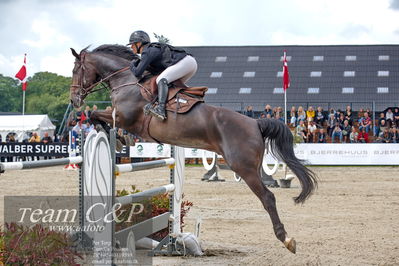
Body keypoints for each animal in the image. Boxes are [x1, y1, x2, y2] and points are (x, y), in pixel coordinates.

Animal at [69, 44, 318, 254]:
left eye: (75, 70)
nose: (73, 101)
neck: (127, 80)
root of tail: (255, 122)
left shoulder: (125, 118)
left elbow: (95, 115)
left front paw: (116, 136)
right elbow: (97, 117)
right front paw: (118, 138)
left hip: (244, 168)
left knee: (267, 198)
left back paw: (286, 239)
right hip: (250, 166)